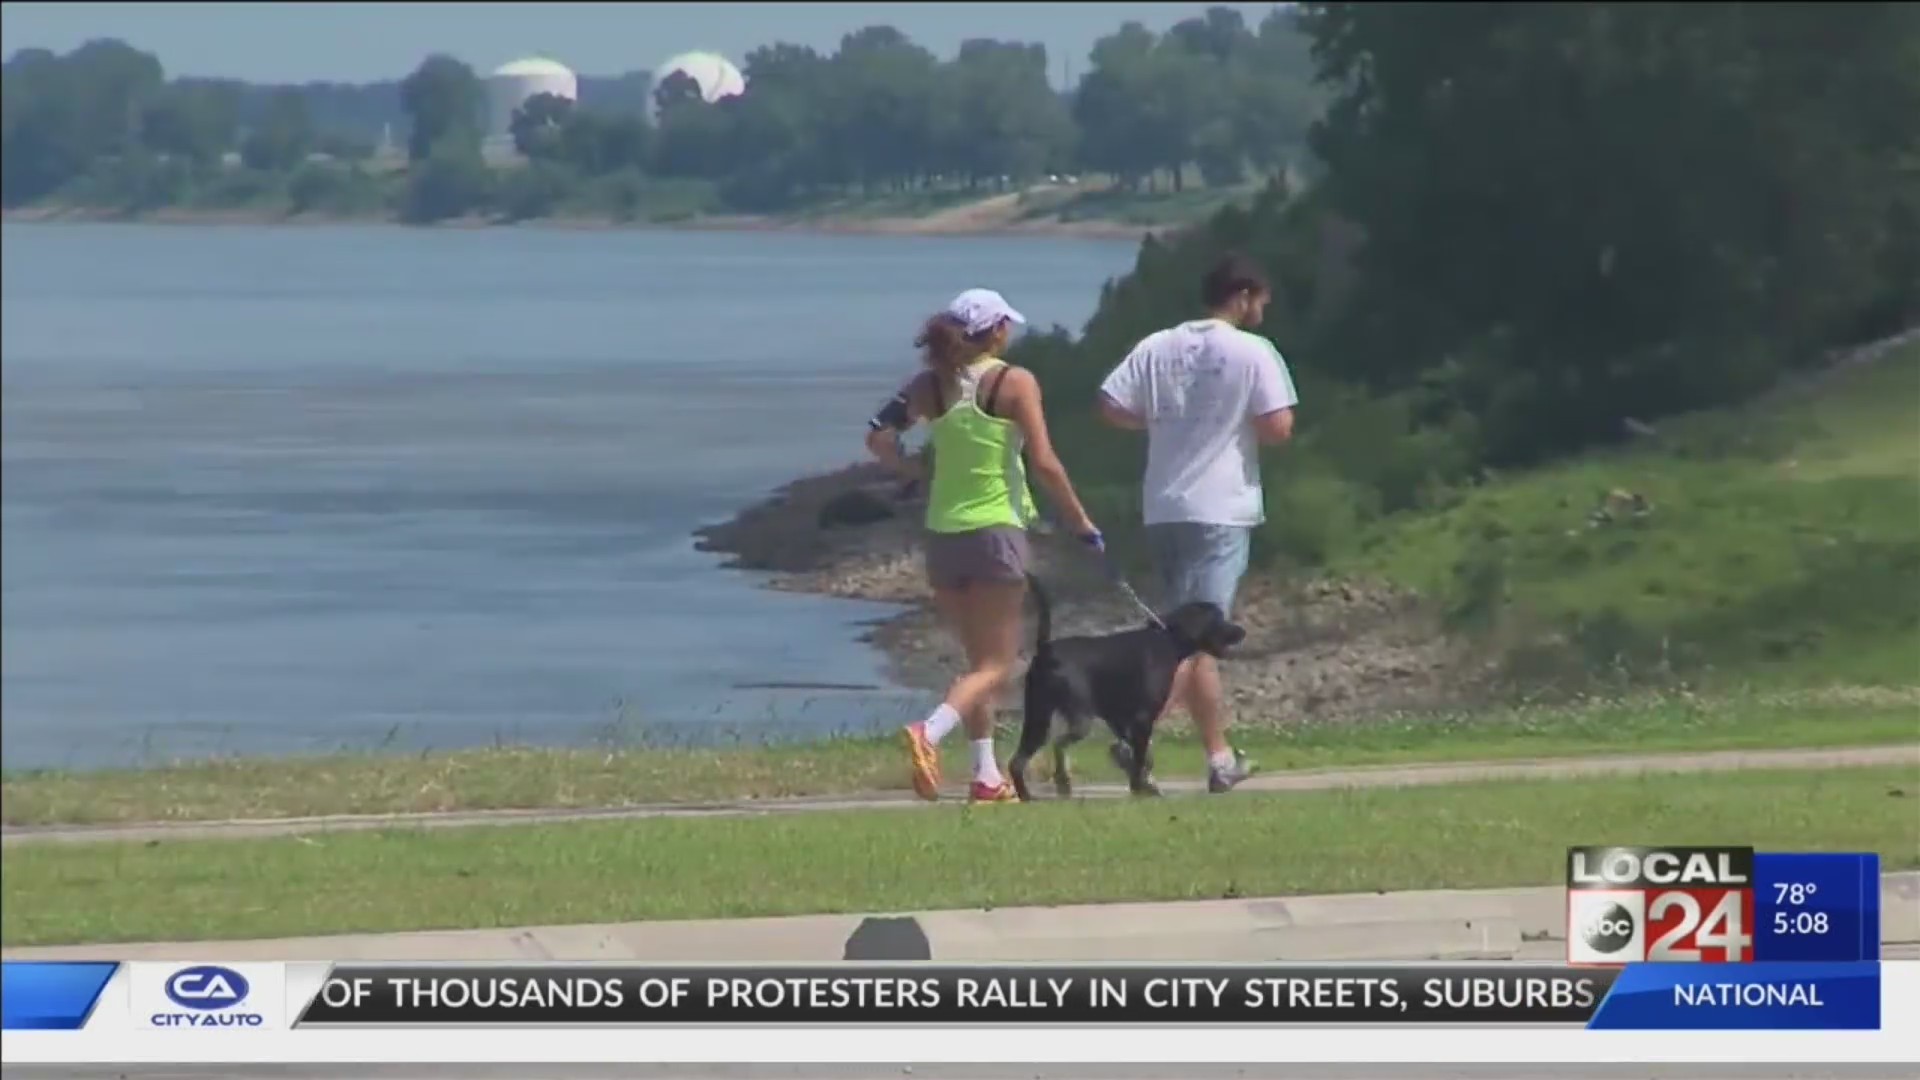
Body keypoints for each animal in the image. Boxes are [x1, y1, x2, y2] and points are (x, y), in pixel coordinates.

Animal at [1013, 572, 1251, 799]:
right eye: (1218, 618)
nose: (1242, 631)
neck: (1168, 639)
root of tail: (1046, 649)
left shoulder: (1120, 720)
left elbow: (1141, 755)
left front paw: (1143, 782)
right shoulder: (1142, 718)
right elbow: (1140, 758)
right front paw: (1139, 788)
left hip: (1037, 720)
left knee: (1017, 761)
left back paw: (1027, 796)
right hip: (1078, 719)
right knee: (1058, 744)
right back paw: (1062, 782)